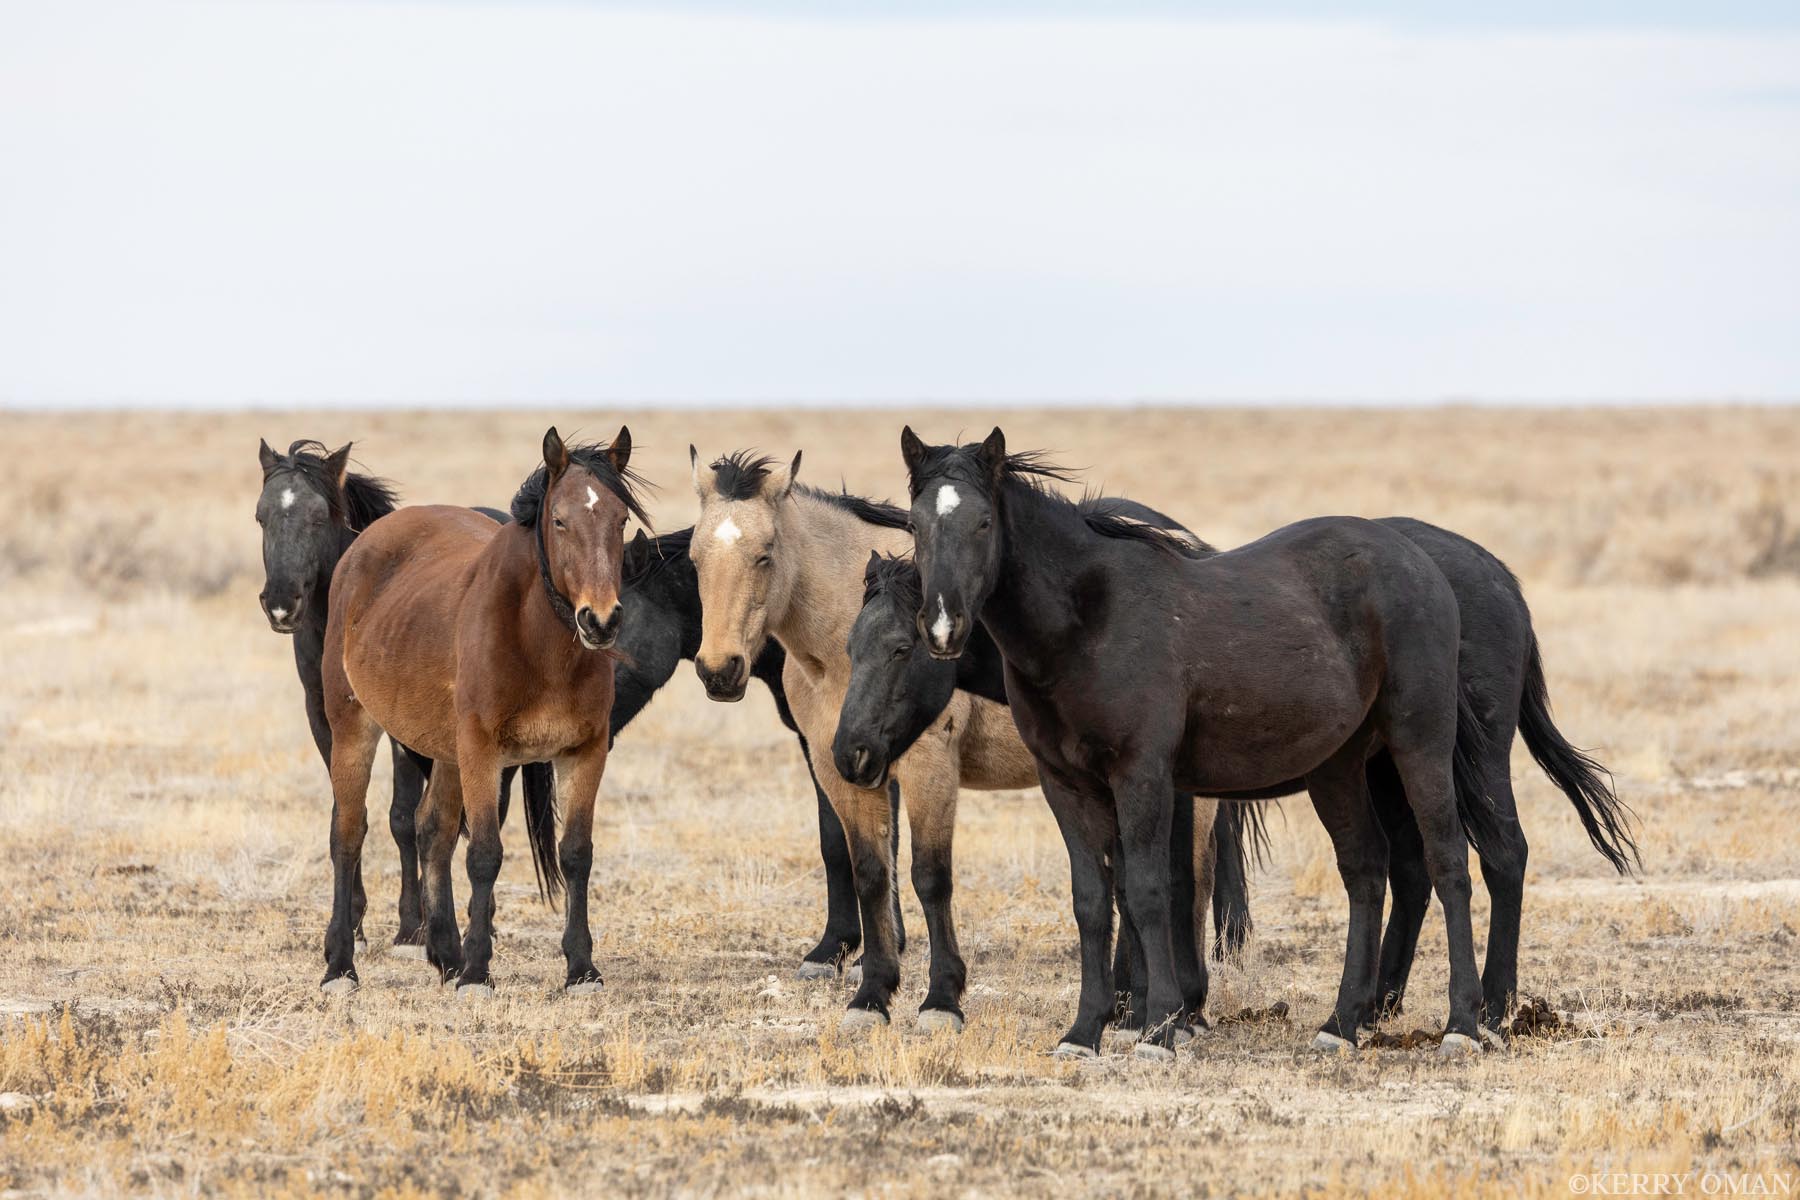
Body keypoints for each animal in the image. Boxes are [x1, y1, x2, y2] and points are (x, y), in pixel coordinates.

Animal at [254, 439, 556, 955]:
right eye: (261, 516)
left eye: (319, 517)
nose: (280, 604)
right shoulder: (324, 717)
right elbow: (346, 809)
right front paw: (355, 923)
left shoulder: (402, 729)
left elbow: (402, 818)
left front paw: (413, 925)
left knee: (485, 815)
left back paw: (479, 920)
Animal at [318, 427, 645, 994]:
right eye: (559, 520)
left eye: (621, 519)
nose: (600, 620)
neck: (536, 641)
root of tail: (362, 547)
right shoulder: (482, 751)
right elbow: (485, 854)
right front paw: (476, 973)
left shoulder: (585, 751)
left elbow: (576, 854)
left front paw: (581, 969)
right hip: (354, 726)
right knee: (349, 833)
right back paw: (341, 966)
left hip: (446, 750)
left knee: (432, 832)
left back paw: (444, 955)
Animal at [903, 428, 1508, 1058]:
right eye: (915, 524)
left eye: (982, 523)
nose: (942, 628)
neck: (1087, 622)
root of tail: (1423, 564)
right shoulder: (1065, 784)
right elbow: (1092, 901)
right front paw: (1084, 1031)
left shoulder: (1142, 776)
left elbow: (1150, 893)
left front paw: (1160, 1028)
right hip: (1338, 768)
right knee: (1366, 871)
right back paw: (1341, 1023)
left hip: (1419, 744)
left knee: (1449, 862)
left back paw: (1463, 1023)